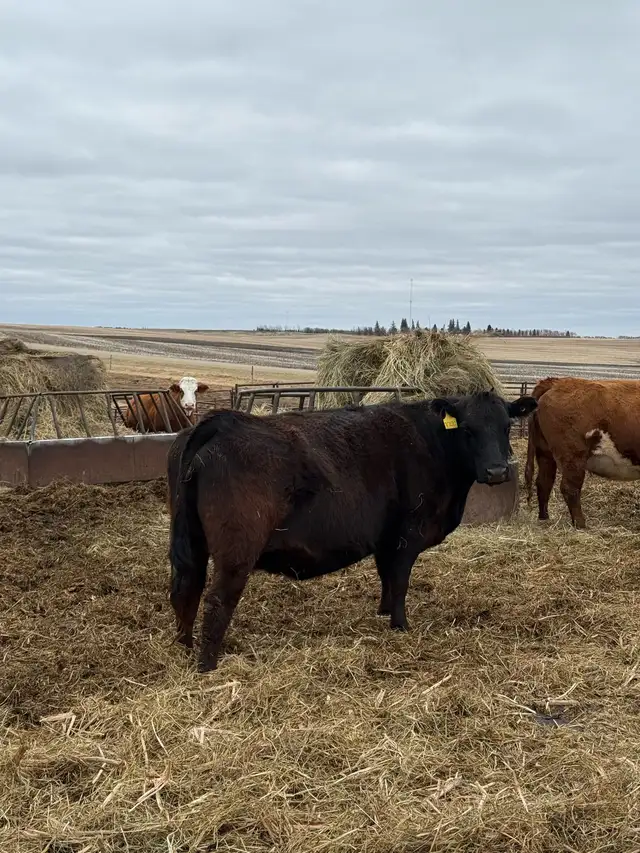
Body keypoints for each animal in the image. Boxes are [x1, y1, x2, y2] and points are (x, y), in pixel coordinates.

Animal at [167, 390, 537, 672]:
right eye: (468, 429)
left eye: (506, 427)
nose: (497, 471)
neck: (432, 444)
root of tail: (224, 421)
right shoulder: (406, 536)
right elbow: (400, 582)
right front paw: (400, 626)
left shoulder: (385, 539)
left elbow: (386, 578)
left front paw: (384, 614)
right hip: (236, 552)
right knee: (217, 600)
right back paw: (207, 665)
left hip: (190, 541)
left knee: (186, 589)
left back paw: (184, 647)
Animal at [525, 376, 640, 528]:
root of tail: (556, 382)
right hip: (573, 456)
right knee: (570, 488)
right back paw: (581, 524)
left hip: (545, 452)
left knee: (544, 482)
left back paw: (544, 518)